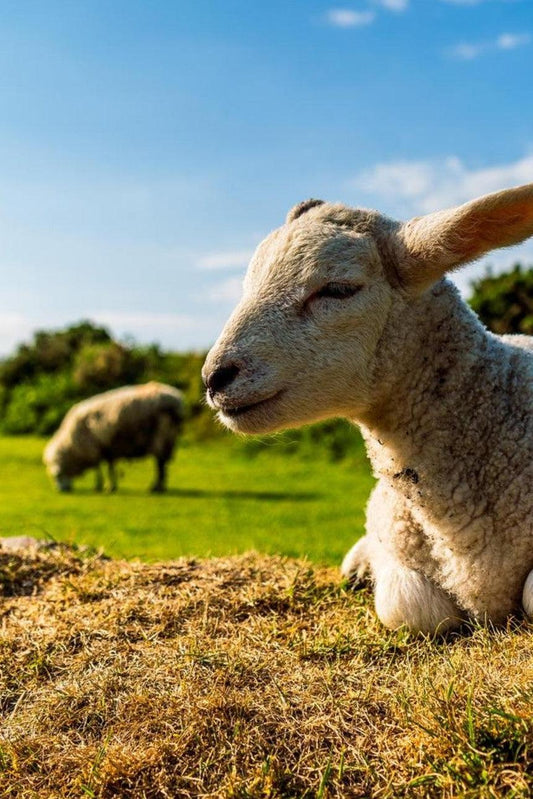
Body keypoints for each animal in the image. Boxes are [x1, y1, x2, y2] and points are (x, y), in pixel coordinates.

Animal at [43, 382, 184, 493]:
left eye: (57, 476)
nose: (61, 491)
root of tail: (176, 400)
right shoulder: (107, 447)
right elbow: (109, 467)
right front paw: (110, 486)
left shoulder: (95, 447)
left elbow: (99, 468)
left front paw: (101, 486)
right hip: (168, 438)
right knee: (163, 465)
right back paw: (160, 487)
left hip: (161, 436)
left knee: (160, 464)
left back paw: (156, 488)